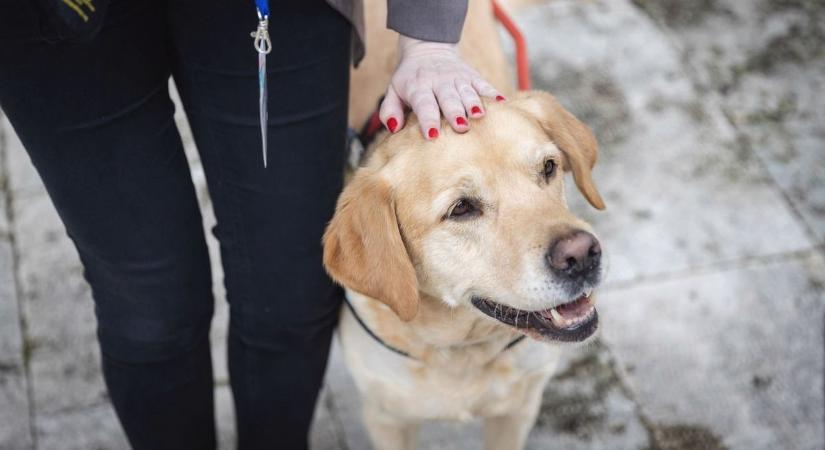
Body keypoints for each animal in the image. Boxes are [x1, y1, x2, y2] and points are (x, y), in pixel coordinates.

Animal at [324, 1, 604, 448]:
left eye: (548, 167)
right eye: (461, 209)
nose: (581, 256)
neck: (463, 348)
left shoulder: (517, 411)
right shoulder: (386, 419)